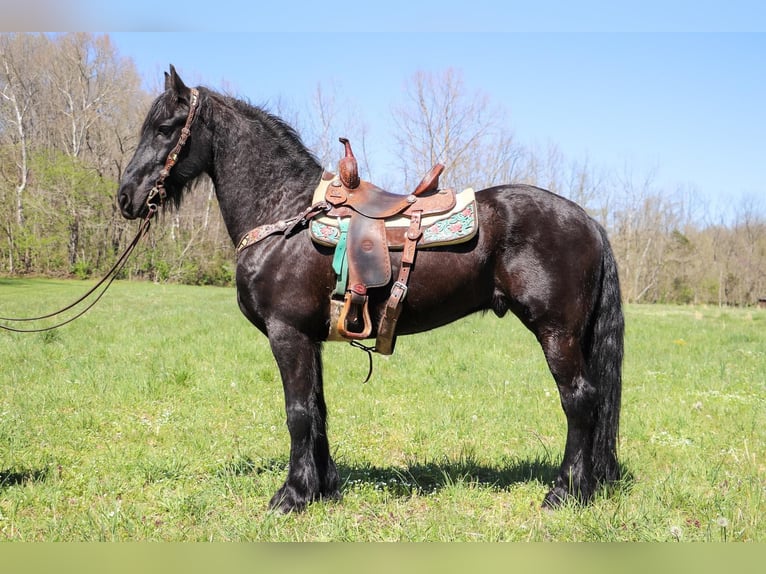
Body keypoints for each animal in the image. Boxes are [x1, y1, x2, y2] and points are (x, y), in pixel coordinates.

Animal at [118, 66, 624, 512]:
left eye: (165, 128)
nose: (125, 197)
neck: (284, 215)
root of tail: (588, 220)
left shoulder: (287, 334)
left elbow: (297, 413)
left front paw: (291, 497)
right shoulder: (309, 339)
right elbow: (317, 410)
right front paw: (322, 490)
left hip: (556, 333)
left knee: (580, 401)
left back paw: (565, 494)